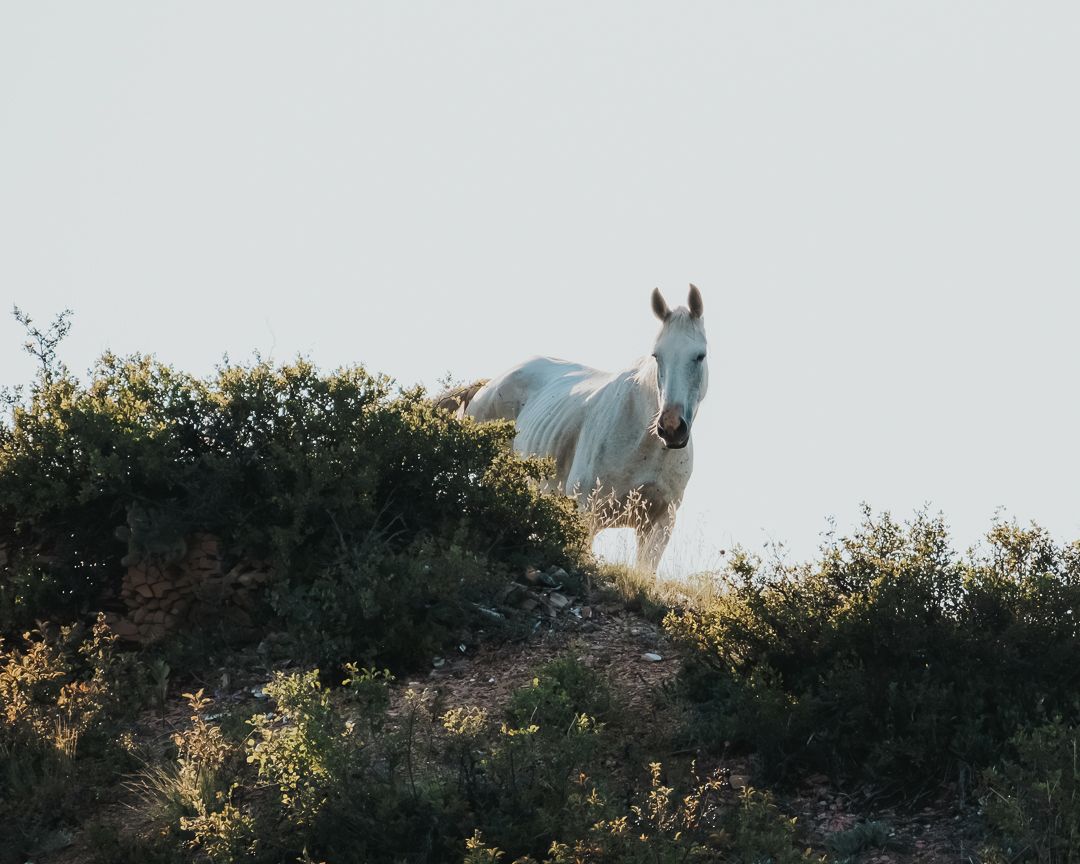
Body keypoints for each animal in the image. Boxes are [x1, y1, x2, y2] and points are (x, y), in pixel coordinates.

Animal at [447, 285, 709, 573]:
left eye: (700, 356)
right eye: (656, 356)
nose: (671, 428)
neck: (644, 443)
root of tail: (489, 384)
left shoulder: (660, 523)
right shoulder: (587, 513)